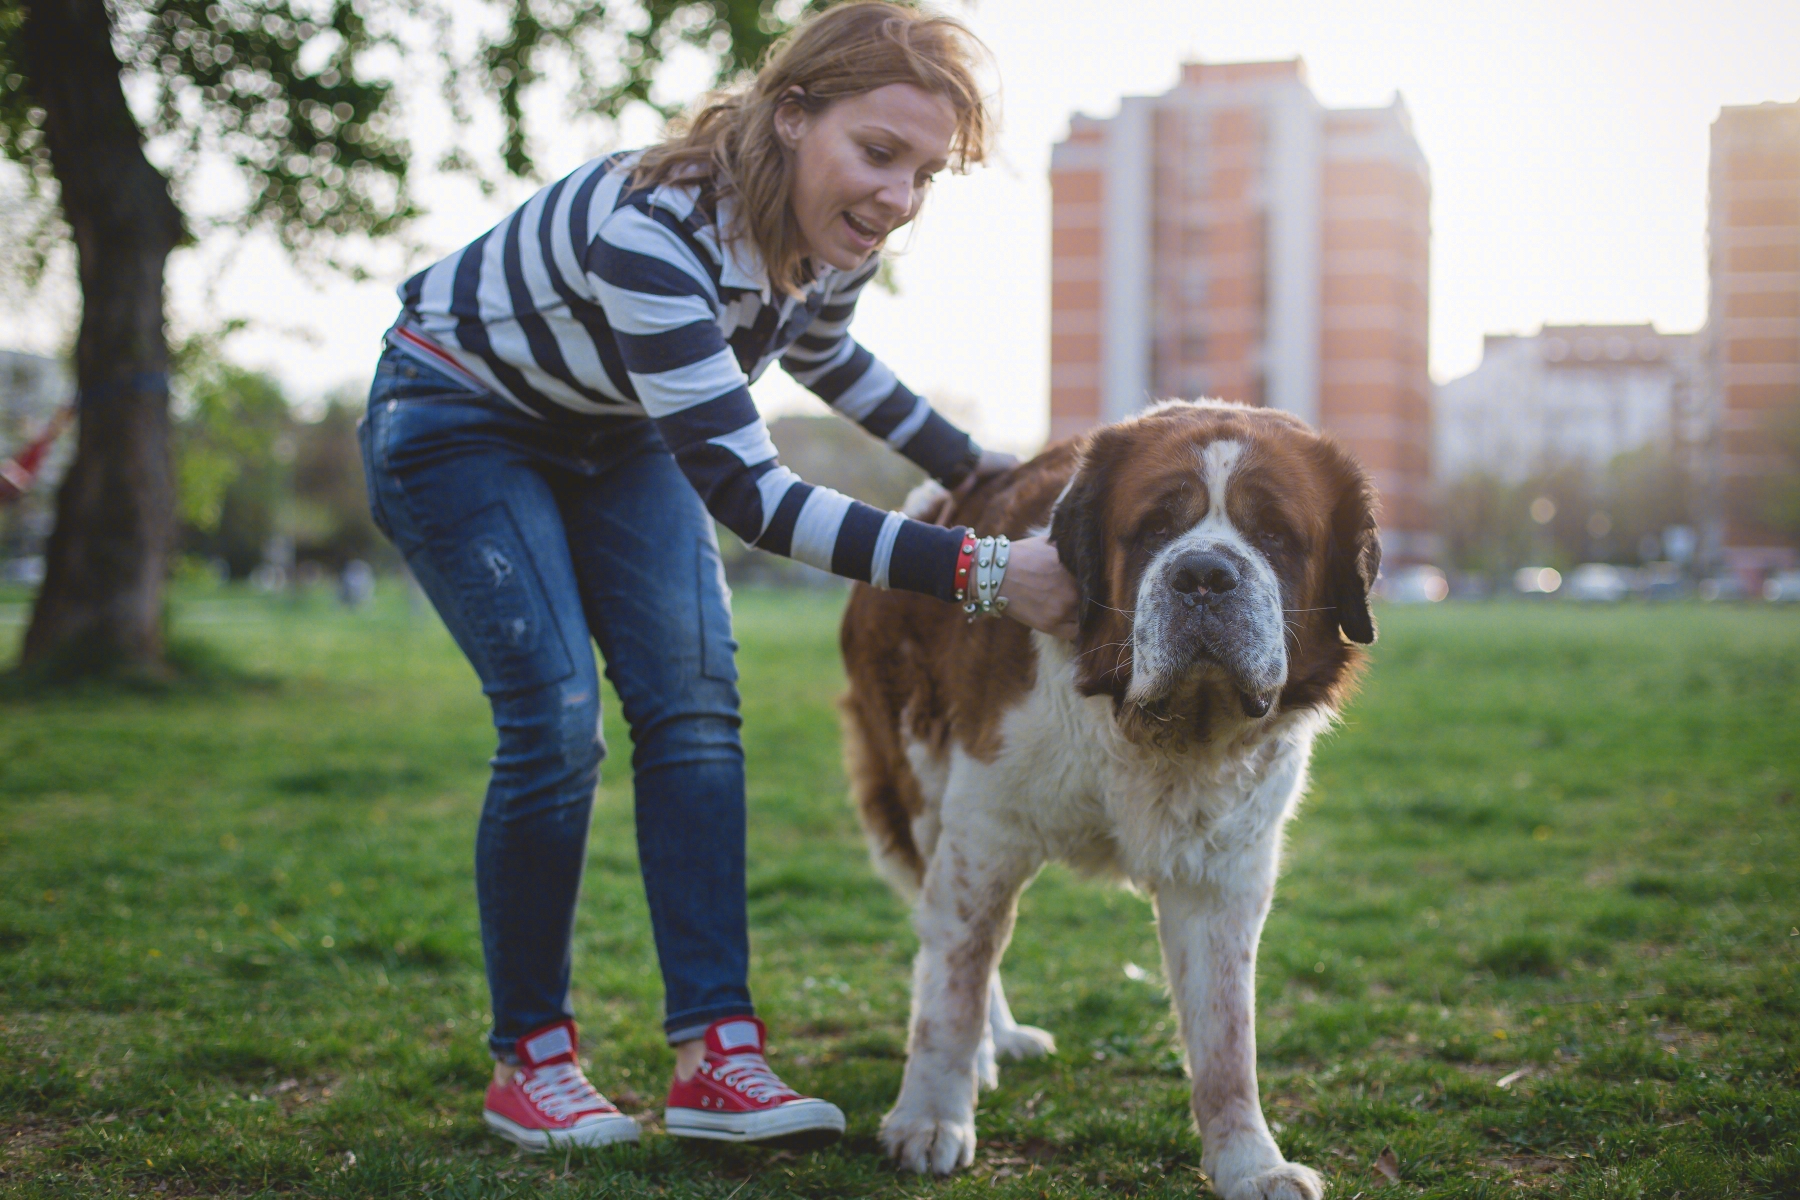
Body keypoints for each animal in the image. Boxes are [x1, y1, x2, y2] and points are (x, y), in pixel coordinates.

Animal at [831, 399, 1375, 1194]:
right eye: (1152, 529)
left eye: (1275, 535)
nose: (1205, 574)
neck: (1158, 734)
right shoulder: (984, 832)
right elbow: (954, 987)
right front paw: (929, 1118)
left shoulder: (1225, 878)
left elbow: (1227, 1039)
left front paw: (1249, 1163)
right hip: (922, 791)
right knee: (954, 943)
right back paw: (983, 1053)